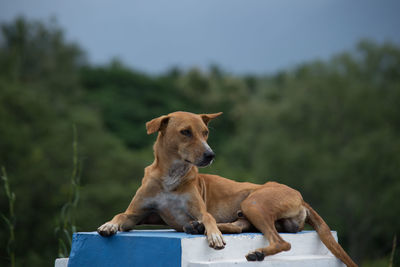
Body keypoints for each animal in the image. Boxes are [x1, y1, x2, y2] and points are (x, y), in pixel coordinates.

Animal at [96, 110, 356, 266]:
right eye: (185, 132)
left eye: (205, 132)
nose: (210, 154)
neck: (171, 176)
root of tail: (301, 197)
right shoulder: (137, 214)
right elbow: (120, 215)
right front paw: (109, 225)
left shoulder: (200, 209)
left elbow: (208, 216)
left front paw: (212, 234)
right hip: (251, 210)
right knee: (242, 226)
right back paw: (198, 228)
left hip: (254, 202)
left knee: (282, 242)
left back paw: (248, 248)